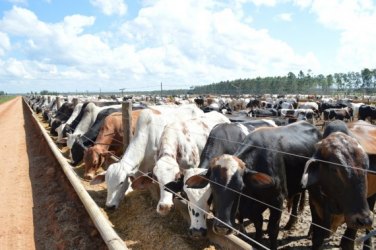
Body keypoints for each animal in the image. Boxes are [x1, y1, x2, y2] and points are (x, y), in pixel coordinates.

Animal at [187, 120, 322, 248]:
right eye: (212, 186)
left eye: (240, 188)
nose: (222, 228)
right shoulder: (251, 209)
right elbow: (258, 226)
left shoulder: (277, 201)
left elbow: (272, 230)